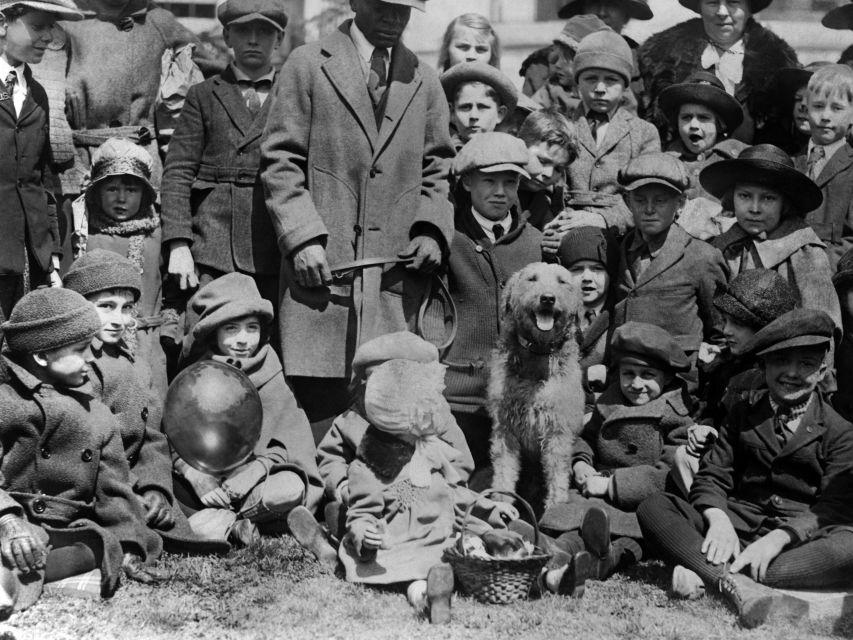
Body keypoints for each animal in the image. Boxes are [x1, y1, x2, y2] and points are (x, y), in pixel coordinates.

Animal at [486, 262, 584, 508]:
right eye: (532, 278)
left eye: (562, 281)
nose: (547, 298)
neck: (538, 352)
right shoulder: (505, 426)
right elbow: (504, 469)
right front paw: (501, 500)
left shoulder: (557, 429)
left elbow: (556, 473)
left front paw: (556, 505)